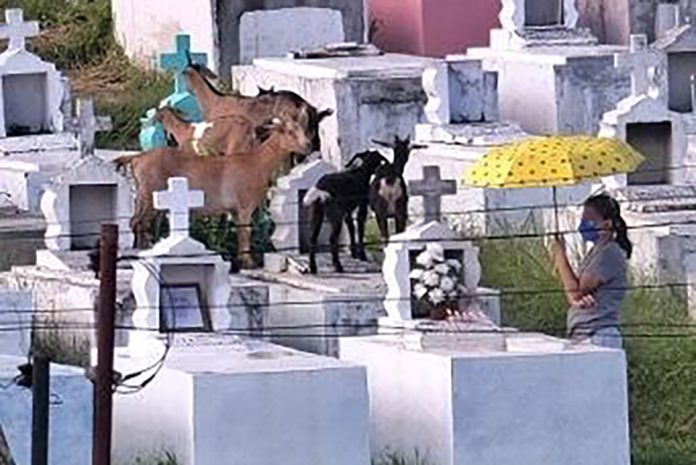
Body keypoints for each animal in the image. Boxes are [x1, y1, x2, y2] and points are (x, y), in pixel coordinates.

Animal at [115, 118, 312, 266]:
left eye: (301, 129)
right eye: (289, 132)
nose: (308, 146)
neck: (257, 162)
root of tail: (138, 157)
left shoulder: (235, 210)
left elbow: (241, 231)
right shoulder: (244, 205)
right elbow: (245, 232)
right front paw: (248, 262)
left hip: (142, 195)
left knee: (135, 222)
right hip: (151, 195)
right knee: (140, 223)